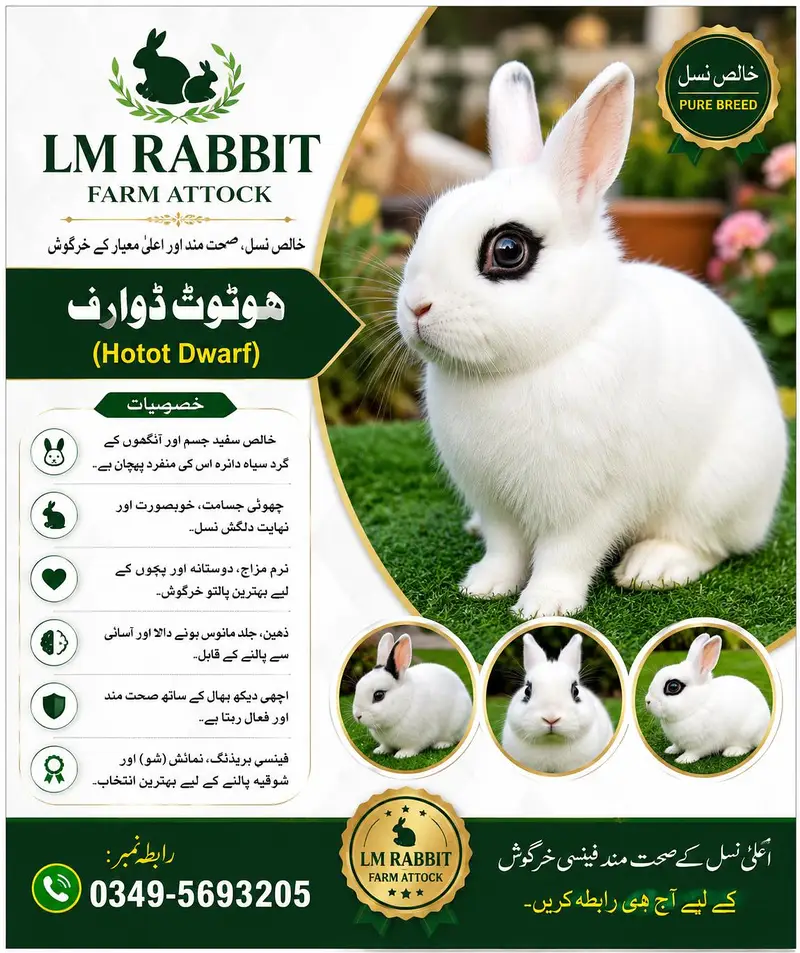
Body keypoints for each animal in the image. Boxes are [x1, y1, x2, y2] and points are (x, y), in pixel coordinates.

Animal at [395, 60, 787, 620]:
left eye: (508, 250)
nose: (416, 308)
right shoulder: (495, 504)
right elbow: (503, 549)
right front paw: (483, 588)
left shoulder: (587, 506)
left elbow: (566, 555)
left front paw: (542, 608)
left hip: (717, 492)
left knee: (706, 543)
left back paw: (652, 567)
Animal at [644, 632, 770, 764]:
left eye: (673, 687)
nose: (647, 701)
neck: (696, 707)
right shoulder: (679, 741)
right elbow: (677, 746)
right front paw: (671, 750)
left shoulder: (704, 744)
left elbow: (694, 752)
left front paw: (683, 760)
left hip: (747, 732)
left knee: (746, 745)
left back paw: (732, 751)